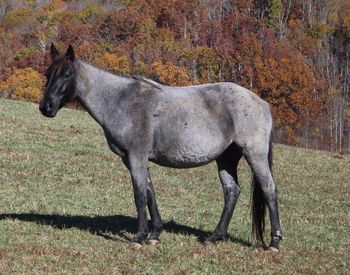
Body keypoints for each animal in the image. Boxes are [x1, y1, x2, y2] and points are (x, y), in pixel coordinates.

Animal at [39, 44, 284, 252]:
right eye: (48, 74)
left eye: (67, 75)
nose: (46, 107)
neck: (121, 101)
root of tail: (261, 102)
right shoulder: (132, 159)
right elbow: (150, 193)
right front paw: (155, 235)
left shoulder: (136, 157)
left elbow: (139, 195)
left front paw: (139, 238)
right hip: (226, 158)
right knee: (231, 191)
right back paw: (214, 237)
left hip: (254, 154)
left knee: (269, 189)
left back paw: (274, 242)